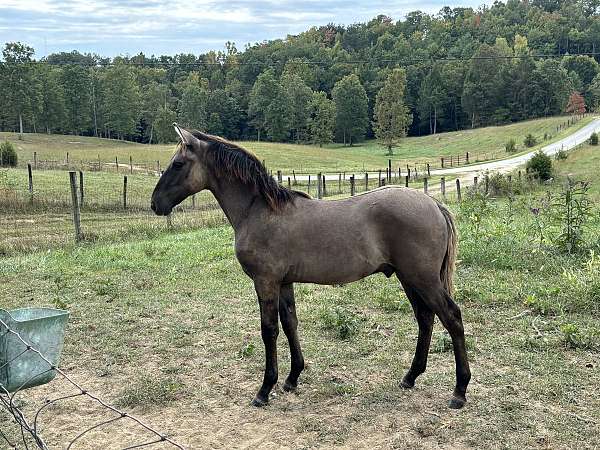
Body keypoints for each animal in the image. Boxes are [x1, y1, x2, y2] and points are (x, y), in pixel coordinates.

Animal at [150, 123, 468, 408]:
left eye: (178, 163)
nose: (155, 204)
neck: (260, 211)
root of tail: (433, 204)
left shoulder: (265, 282)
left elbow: (269, 330)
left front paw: (265, 390)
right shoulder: (284, 282)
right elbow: (290, 323)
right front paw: (292, 378)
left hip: (422, 278)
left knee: (451, 317)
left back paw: (459, 391)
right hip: (408, 277)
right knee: (425, 318)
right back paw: (410, 377)